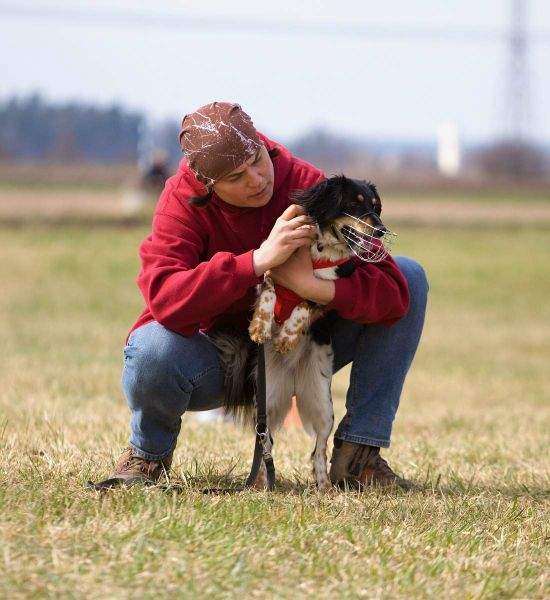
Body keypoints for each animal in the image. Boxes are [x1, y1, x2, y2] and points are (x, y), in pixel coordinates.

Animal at [211, 175, 392, 489]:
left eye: (375, 206)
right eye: (354, 204)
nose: (380, 230)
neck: (321, 250)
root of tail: (292, 379)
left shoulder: (325, 290)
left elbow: (305, 304)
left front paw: (286, 337)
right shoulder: (272, 267)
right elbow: (270, 293)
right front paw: (260, 328)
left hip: (323, 405)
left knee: (318, 449)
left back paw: (324, 487)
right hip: (266, 401)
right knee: (265, 444)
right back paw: (262, 484)